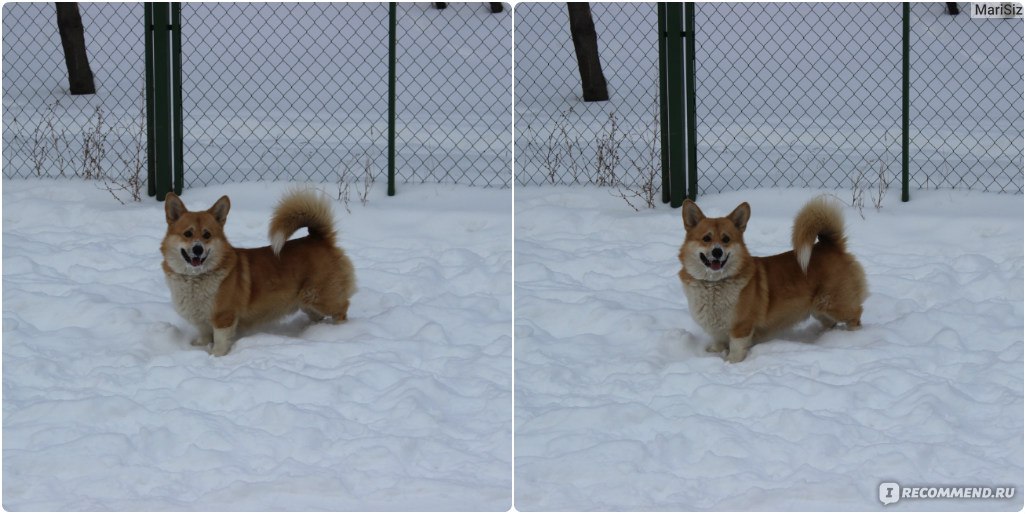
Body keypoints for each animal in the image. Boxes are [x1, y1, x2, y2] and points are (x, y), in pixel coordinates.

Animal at [158, 190, 354, 354]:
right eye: (187, 233)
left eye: (207, 235)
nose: (198, 249)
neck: (195, 277)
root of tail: (319, 238)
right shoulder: (202, 320)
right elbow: (204, 334)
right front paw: (200, 346)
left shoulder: (223, 318)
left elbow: (220, 341)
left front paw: (216, 357)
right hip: (306, 301)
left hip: (319, 296)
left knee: (342, 309)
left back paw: (339, 329)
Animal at [681, 195, 865, 361]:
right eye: (706, 238)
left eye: (726, 239)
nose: (717, 252)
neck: (714, 283)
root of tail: (830, 245)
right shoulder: (717, 330)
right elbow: (718, 342)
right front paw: (713, 353)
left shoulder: (741, 327)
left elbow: (736, 350)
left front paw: (730, 363)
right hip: (817, 308)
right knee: (830, 323)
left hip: (834, 303)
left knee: (855, 316)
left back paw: (852, 336)